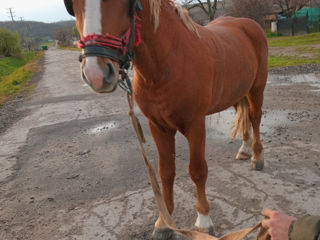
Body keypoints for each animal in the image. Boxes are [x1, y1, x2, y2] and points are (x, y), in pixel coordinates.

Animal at [63, 0, 268, 238]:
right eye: (73, 6)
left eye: (125, 4)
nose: (95, 74)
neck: (168, 64)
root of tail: (247, 24)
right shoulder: (158, 127)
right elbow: (166, 172)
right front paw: (164, 222)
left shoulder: (195, 125)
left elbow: (197, 171)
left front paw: (203, 219)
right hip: (236, 92)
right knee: (244, 116)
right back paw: (244, 149)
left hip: (256, 89)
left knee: (254, 118)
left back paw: (257, 157)